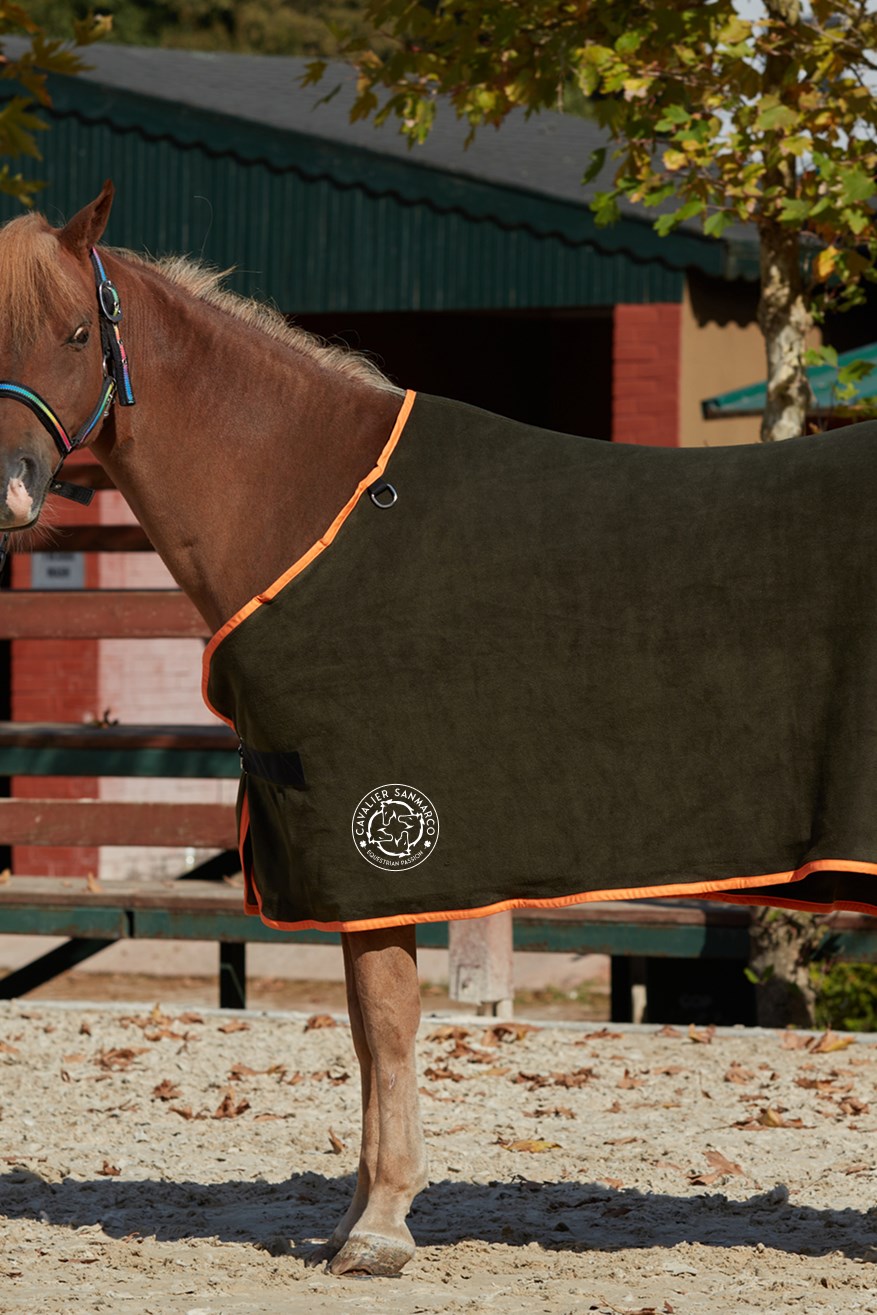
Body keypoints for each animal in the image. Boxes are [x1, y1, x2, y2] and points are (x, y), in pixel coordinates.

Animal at [3, 184, 877, 1277]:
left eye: (79, 333)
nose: (10, 487)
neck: (314, 499)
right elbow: (364, 1029)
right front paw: (355, 1217)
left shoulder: (375, 840)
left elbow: (385, 1020)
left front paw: (378, 1226)